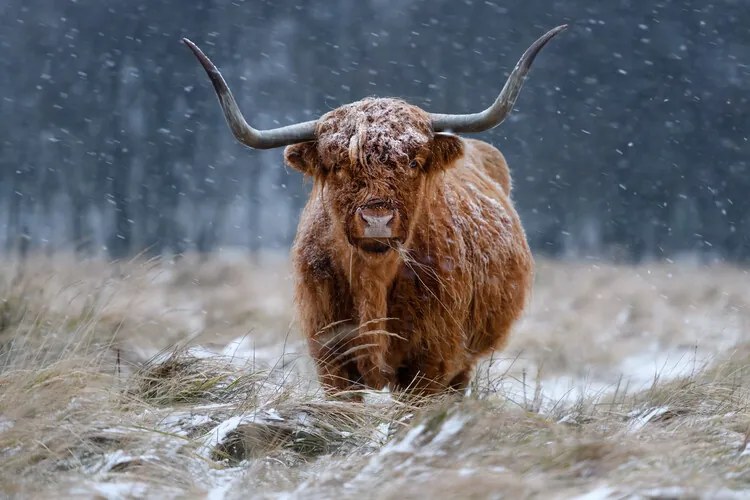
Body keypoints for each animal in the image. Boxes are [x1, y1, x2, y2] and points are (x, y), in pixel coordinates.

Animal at [185, 24, 568, 398]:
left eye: (413, 162)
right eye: (338, 166)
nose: (377, 220)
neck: (373, 281)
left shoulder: (431, 361)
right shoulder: (331, 358)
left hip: (463, 362)